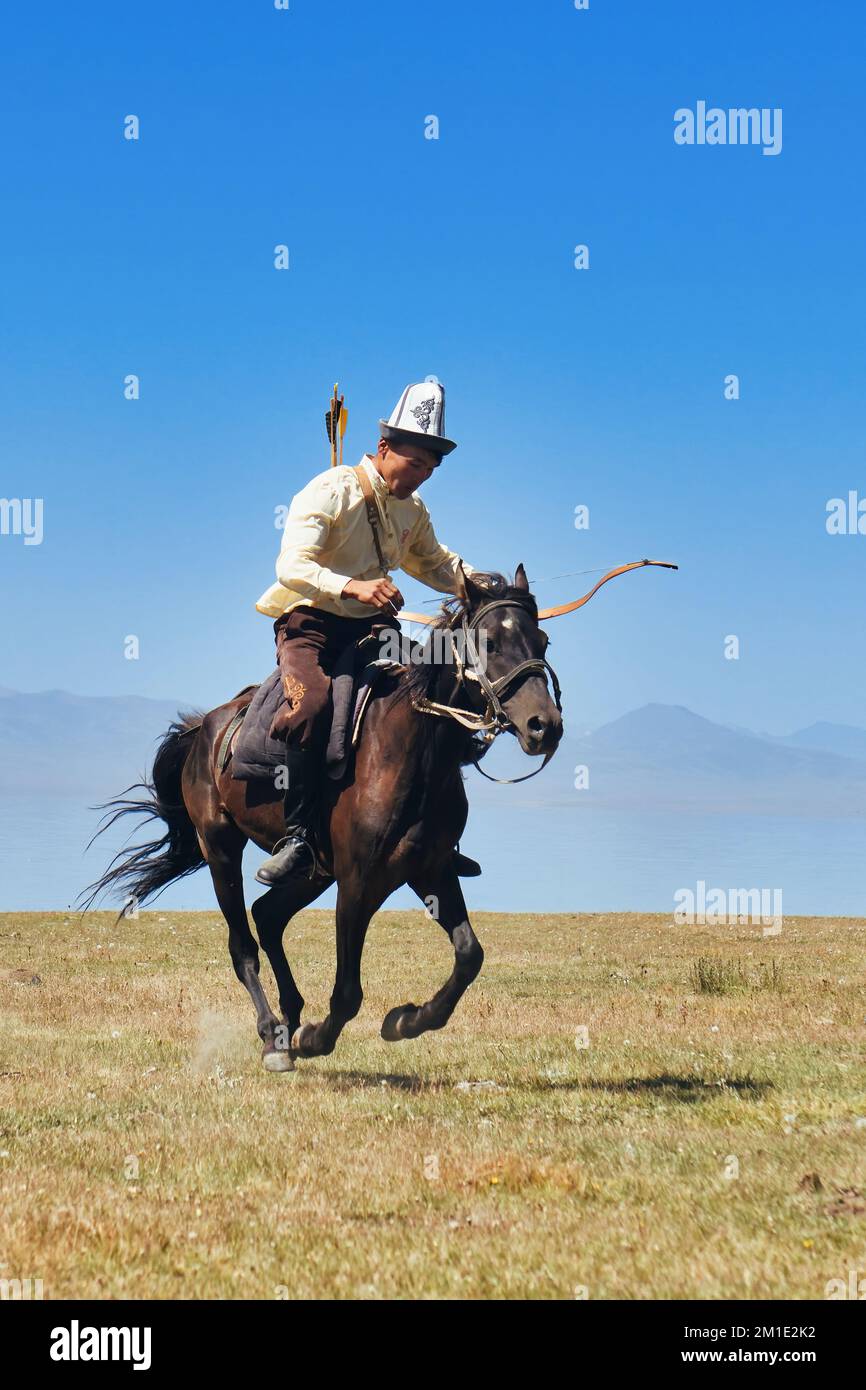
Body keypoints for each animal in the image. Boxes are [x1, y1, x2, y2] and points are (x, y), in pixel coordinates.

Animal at [84, 569, 567, 1067]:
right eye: (489, 642)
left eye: (543, 641)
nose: (544, 726)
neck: (413, 750)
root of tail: (204, 728)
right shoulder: (357, 882)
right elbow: (349, 991)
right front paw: (318, 1038)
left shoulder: (429, 869)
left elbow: (470, 955)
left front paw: (407, 1020)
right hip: (220, 847)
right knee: (243, 945)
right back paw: (273, 1034)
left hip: (315, 870)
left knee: (268, 916)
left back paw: (289, 1019)